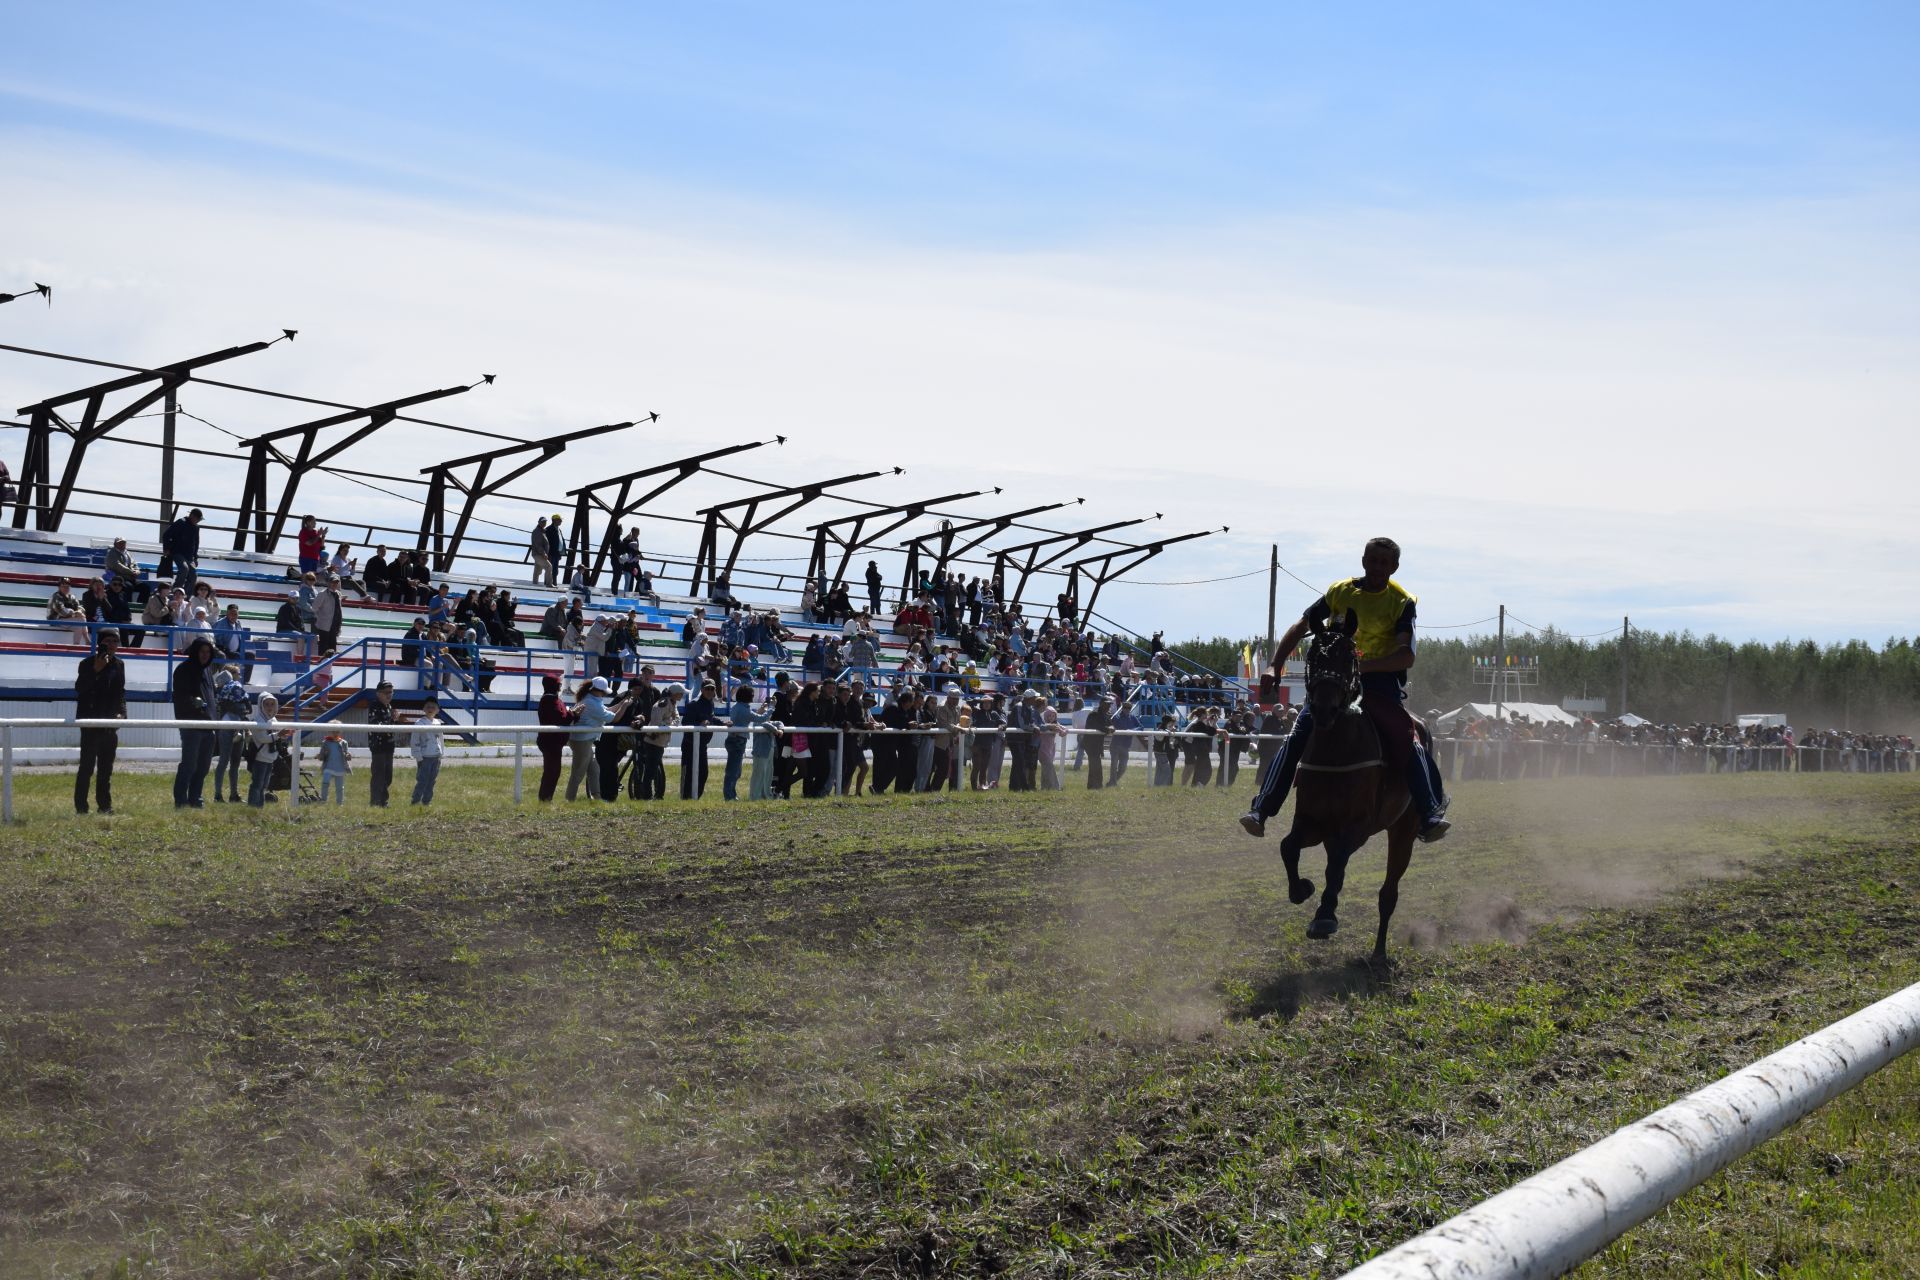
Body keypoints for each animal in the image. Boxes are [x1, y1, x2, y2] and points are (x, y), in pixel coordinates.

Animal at [1282, 610, 1420, 959]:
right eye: (1313, 657)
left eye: (1348, 657)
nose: (1323, 708)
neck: (1336, 753)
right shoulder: (1312, 821)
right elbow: (1288, 846)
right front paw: (1301, 889)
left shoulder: (1357, 827)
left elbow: (1337, 865)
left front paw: (1324, 916)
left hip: (1404, 831)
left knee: (1388, 894)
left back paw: (1379, 953)